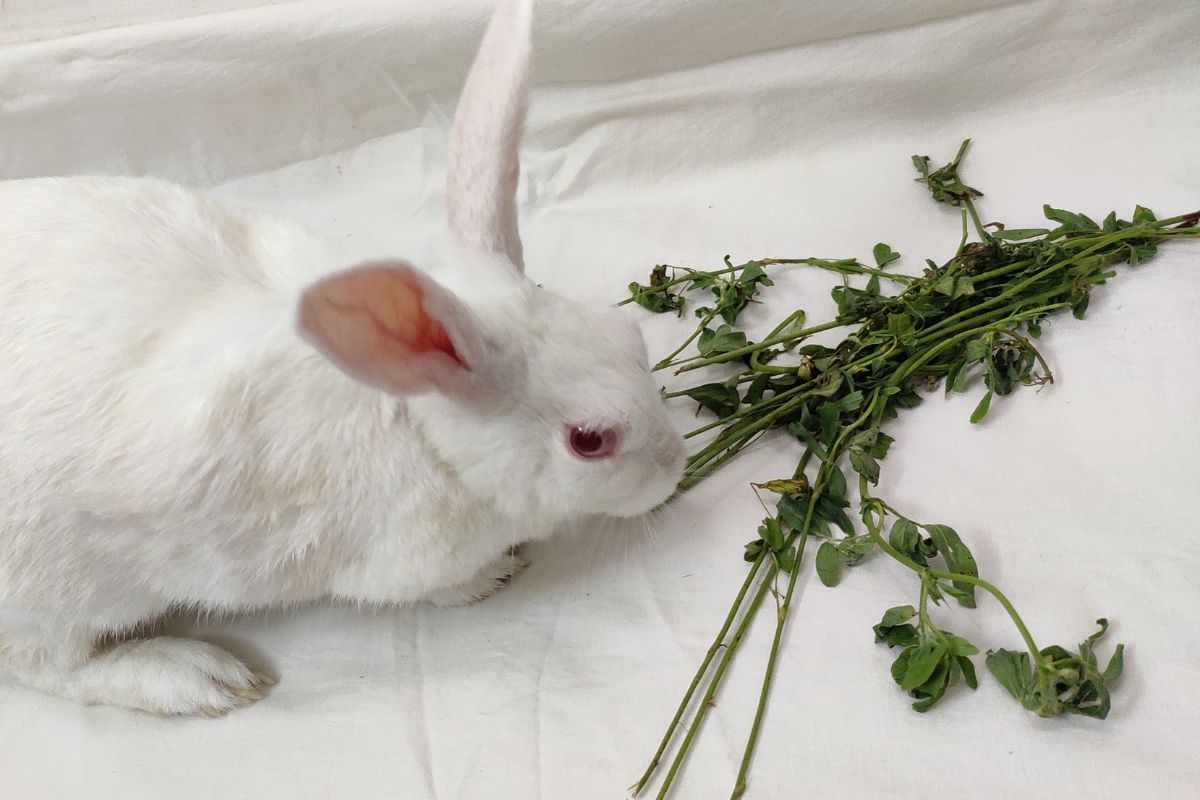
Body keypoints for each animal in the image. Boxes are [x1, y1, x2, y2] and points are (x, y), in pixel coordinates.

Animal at [0, 0, 686, 715]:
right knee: (51, 667)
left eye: (630, 338)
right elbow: (440, 588)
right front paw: (496, 572)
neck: (428, 434)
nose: (677, 464)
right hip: (60, 597)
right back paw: (198, 677)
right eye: (589, 441)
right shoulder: (401, 561)